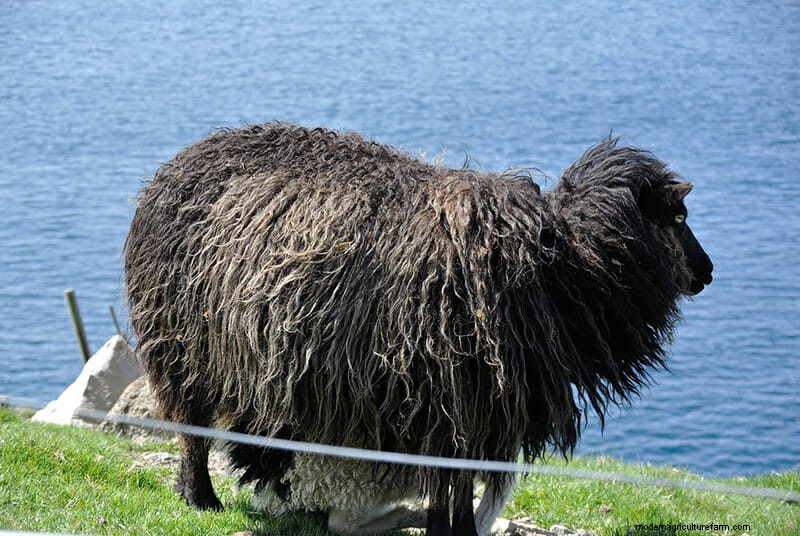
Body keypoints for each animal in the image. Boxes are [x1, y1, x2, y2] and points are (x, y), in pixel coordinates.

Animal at [124, 123, 713, 535]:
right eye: (678, 217)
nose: (707, 273)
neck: (567, 261)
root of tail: (173, 164)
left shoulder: (463, 410)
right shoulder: (456, 401)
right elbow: (451, 487)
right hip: (181, 343)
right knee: (192, 427)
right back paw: (200, 497)